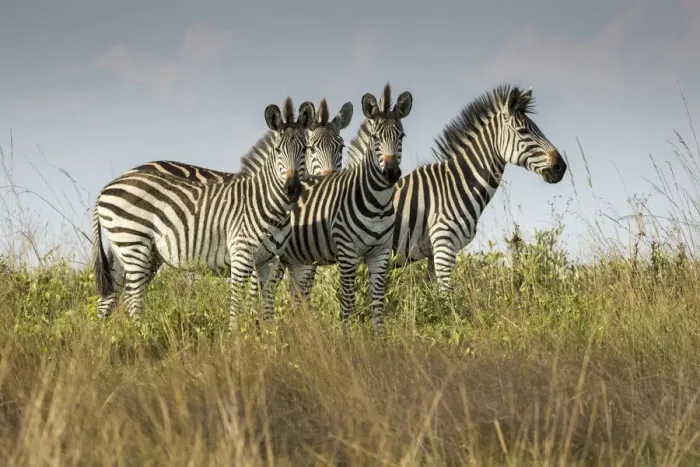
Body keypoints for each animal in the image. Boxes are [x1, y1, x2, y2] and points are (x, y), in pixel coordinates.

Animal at [91, 98, 315, 328]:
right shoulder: (242, 255)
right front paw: (236, 335)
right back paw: (140, 333)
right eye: (278, 150)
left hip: (125, 250)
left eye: (305, 149)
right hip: (134, 245)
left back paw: (106, 334)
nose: (292, 189)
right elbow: (237, 303)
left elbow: (267, 305)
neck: (268, 203)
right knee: (132, 299)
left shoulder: (270, 260)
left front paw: (267, 334)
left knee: (110, 297)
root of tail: (108, 187)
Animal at [257, 83, 413, 331]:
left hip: (295, 259)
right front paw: (346, 337)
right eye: (375, 137)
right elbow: (348, 303)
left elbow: (378, 303)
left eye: (401, 135)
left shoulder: (380, 253)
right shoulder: (347, 252)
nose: (391, 173)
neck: (377, 203)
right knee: (266, 296)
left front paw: (380, 338)